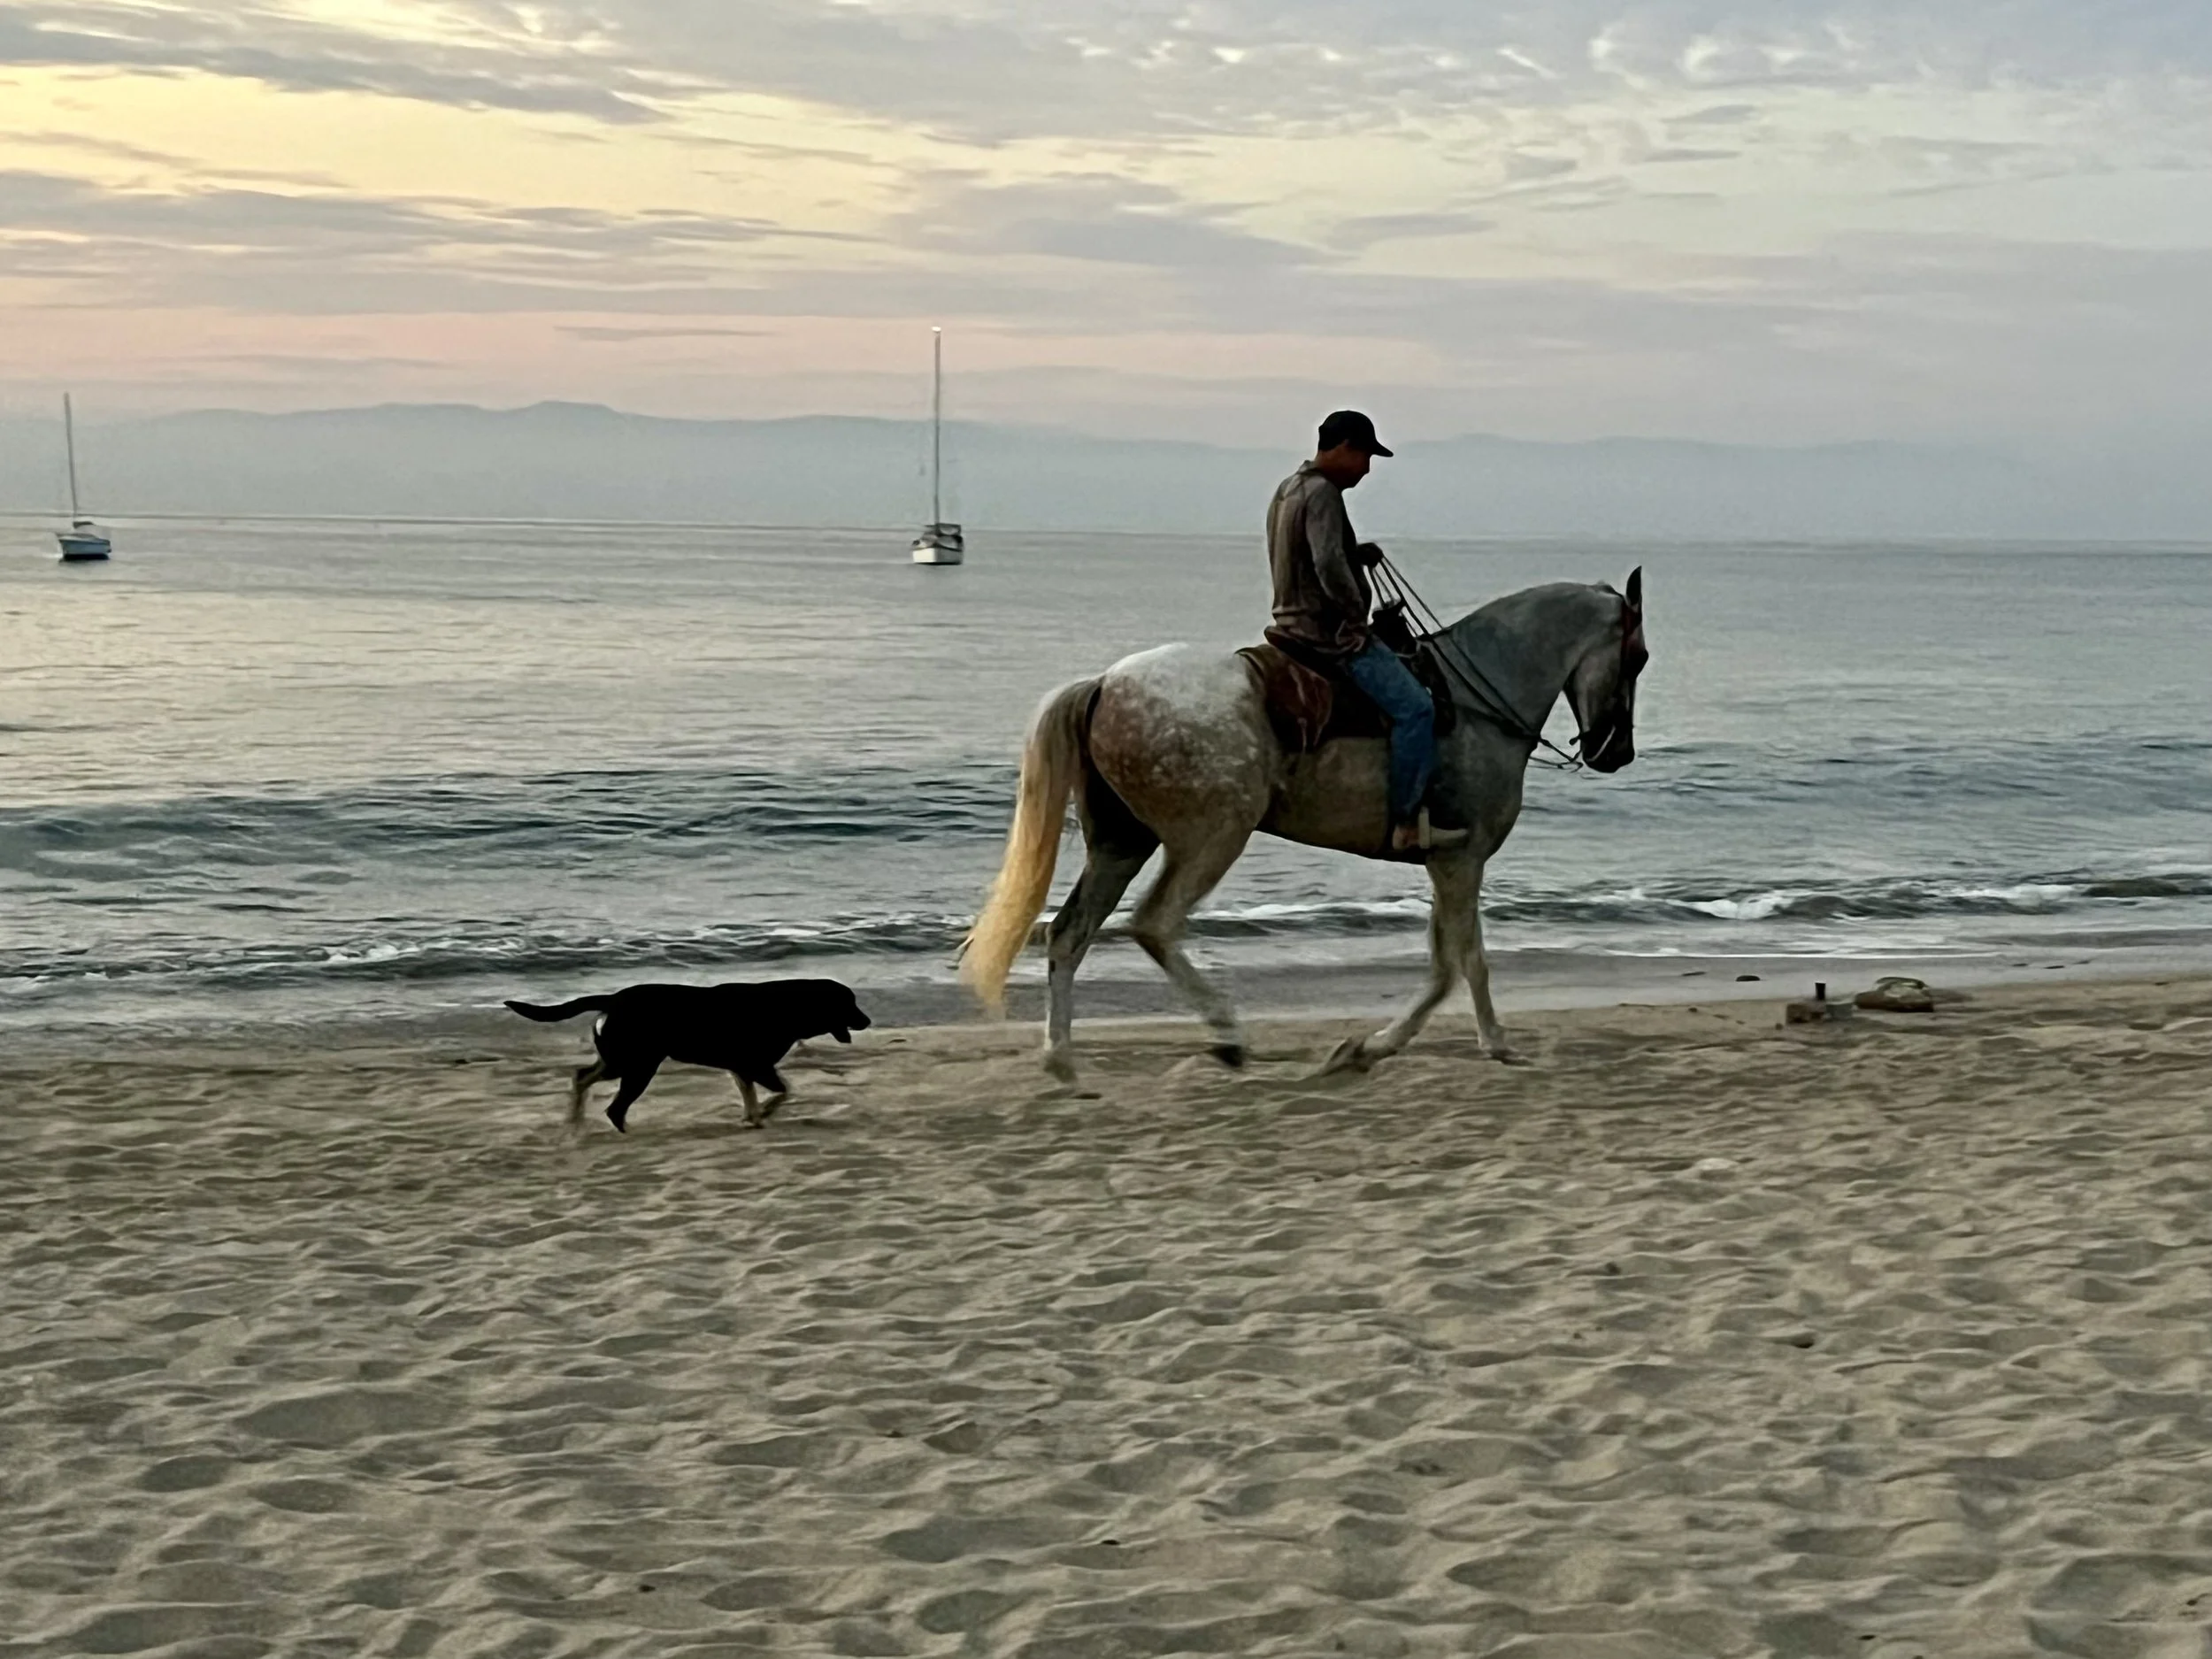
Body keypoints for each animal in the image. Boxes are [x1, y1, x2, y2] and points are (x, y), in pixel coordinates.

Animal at [505, 979, 871, 1133]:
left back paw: (575, 1121)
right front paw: (763, 1113)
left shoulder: (742, 1068)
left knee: (582, 1077)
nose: (867, 1021)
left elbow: (750, 1095)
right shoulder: (757, 1066)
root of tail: (613, 998)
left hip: (620, 1061)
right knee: (613, 1107)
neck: (790, 1005)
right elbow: (784, 1090)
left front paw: (753, 1118)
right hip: (637, 1066)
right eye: (849, 1003)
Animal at [962, 571, 1647, 1079]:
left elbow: (1448, 963)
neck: (1478, 696)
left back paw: (1062, 1058)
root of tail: (1105, 684)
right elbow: (1463, 962)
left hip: (1121, 843)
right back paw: (1227, 1035)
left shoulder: (1444, 861)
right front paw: (1482, 1043)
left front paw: (1383, 1047)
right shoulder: (1462, 859)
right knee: (1153, 924)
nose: (1617, 753)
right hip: (1213, 837)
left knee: (1070, 933)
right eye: (1637, 657)